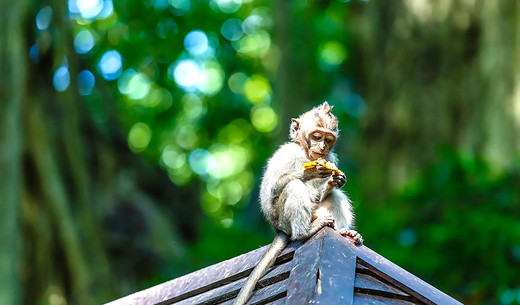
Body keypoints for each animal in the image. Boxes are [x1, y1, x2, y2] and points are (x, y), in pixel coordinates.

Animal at [233, 101, 362, 304]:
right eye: (316, 136)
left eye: (328, 139)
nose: (322, 147)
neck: (305, 153)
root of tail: (279, 229)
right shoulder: (287, 153)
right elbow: (273, 187)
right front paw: (311, 172)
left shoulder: (331, 158)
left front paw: (335, 181)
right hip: (284, 220)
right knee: (294, 186)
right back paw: (304, 232)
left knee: (336, 196)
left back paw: (344, 231)